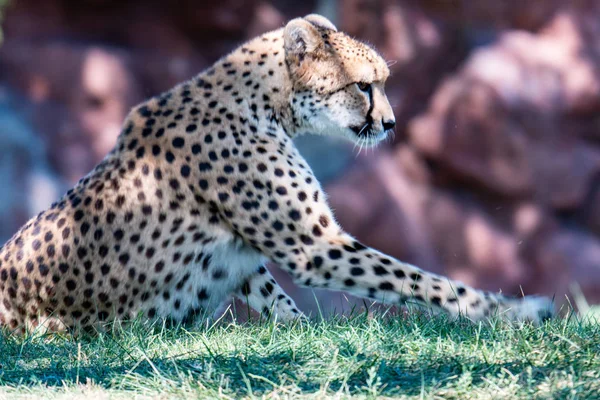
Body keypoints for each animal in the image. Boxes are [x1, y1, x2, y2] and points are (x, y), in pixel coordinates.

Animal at [0, 14, 552, 332]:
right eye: (364, 86)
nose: (392, 123)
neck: (267, 102)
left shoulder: (249, 251)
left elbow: (271, 291)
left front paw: (301, 331)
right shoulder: (313, 244)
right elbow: (416, 279)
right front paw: (512, 313)